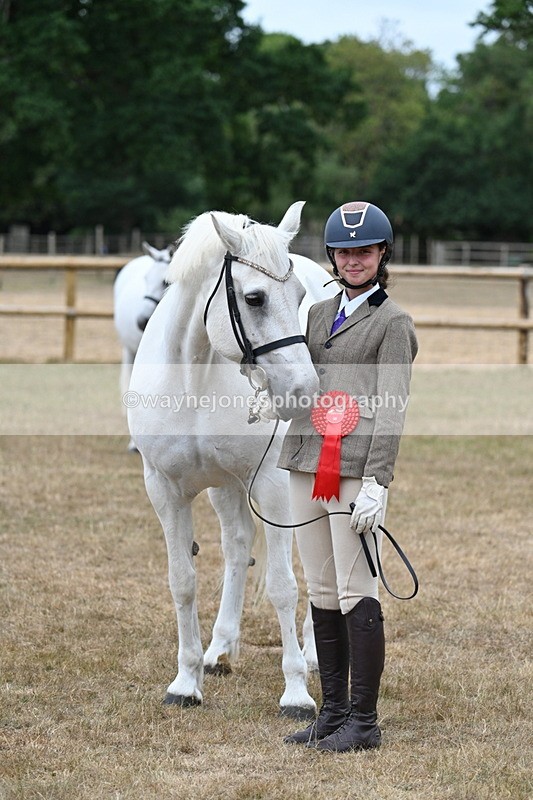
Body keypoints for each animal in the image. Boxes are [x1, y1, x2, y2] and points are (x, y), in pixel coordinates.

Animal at [128, 201, 337, 718]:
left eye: (299, 296)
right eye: (255, 298)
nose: (305, 392)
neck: (194, 377)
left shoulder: (273, 487)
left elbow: (283, 584)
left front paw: (296, 693)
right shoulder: (164, 490)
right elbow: (182, 581)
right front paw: (186, 682)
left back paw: (312, 654)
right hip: (225, 488)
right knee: (238, 546)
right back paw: (219, 650)